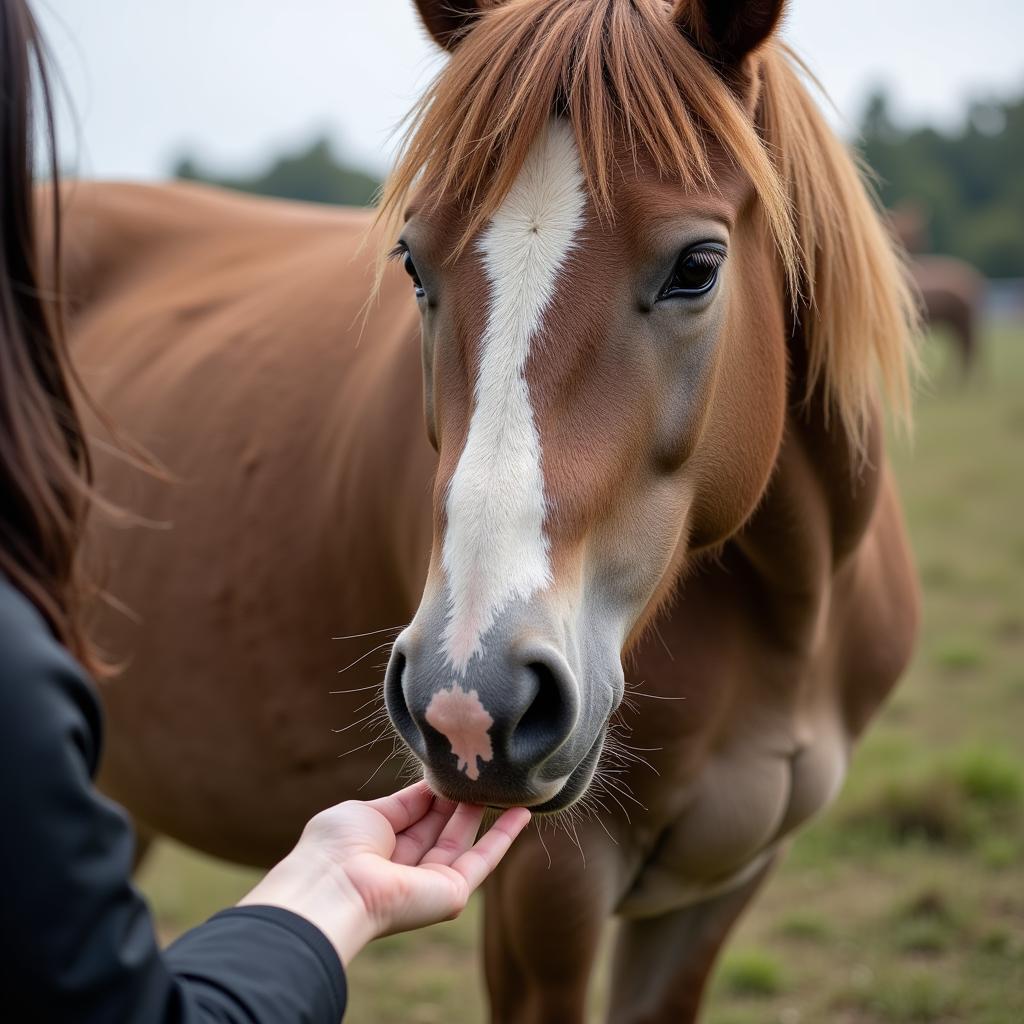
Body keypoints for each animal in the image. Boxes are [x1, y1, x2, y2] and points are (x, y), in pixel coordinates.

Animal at [56, 2, 921, 1024]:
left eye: (699, 267)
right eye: (412, 263)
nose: (470, 701)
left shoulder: (717, 890)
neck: (792, 615)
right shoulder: (545, 900)